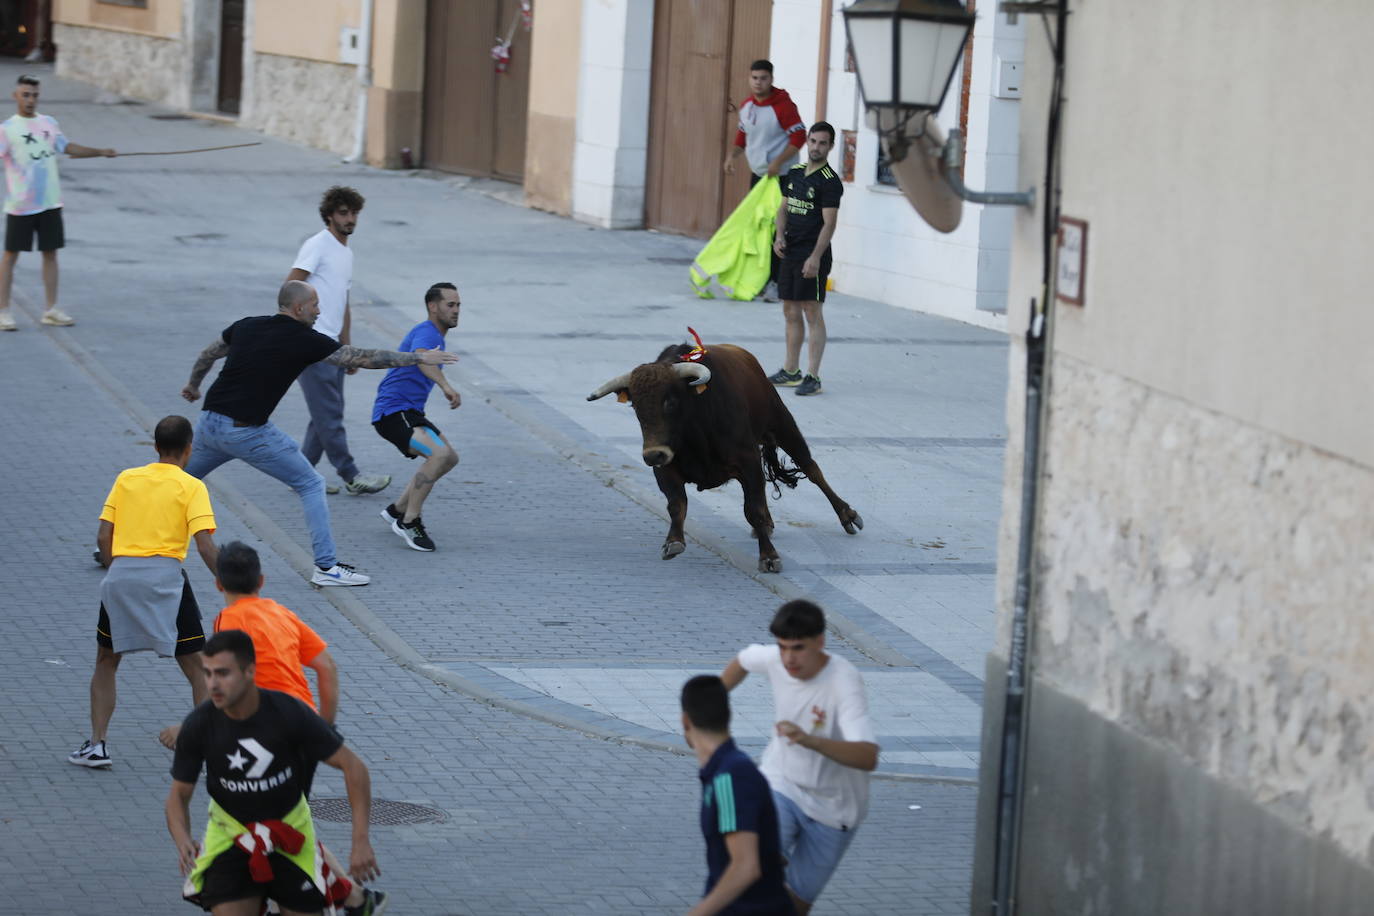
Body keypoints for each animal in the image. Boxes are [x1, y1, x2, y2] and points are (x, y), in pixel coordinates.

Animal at [588, 340, 862, 574]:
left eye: (670, 401)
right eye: (635, 406)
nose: (654, 453)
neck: (696, 424)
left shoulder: (749, 462)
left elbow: (754, 509)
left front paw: (769, 557)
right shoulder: (665, 468)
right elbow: (677, 504)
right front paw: (673, 542)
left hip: (783, 425)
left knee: (811, 469)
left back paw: (847, 515)